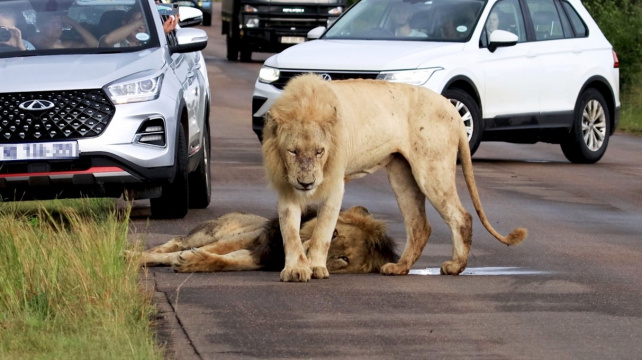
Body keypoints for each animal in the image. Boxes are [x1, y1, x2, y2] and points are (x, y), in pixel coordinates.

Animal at [260, 73, 524, 282]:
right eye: (292, 151)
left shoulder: (334, 184)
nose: (307, 183)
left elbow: (323, 231)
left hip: (431, 169)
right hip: (402, 174)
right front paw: (295, 270)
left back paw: (455, 266)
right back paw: (400, 267)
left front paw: (316, 267)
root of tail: (453, 110)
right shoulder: (287, 184)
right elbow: (290, 231)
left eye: (319, 151)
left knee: (461, 217)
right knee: (420, 225)